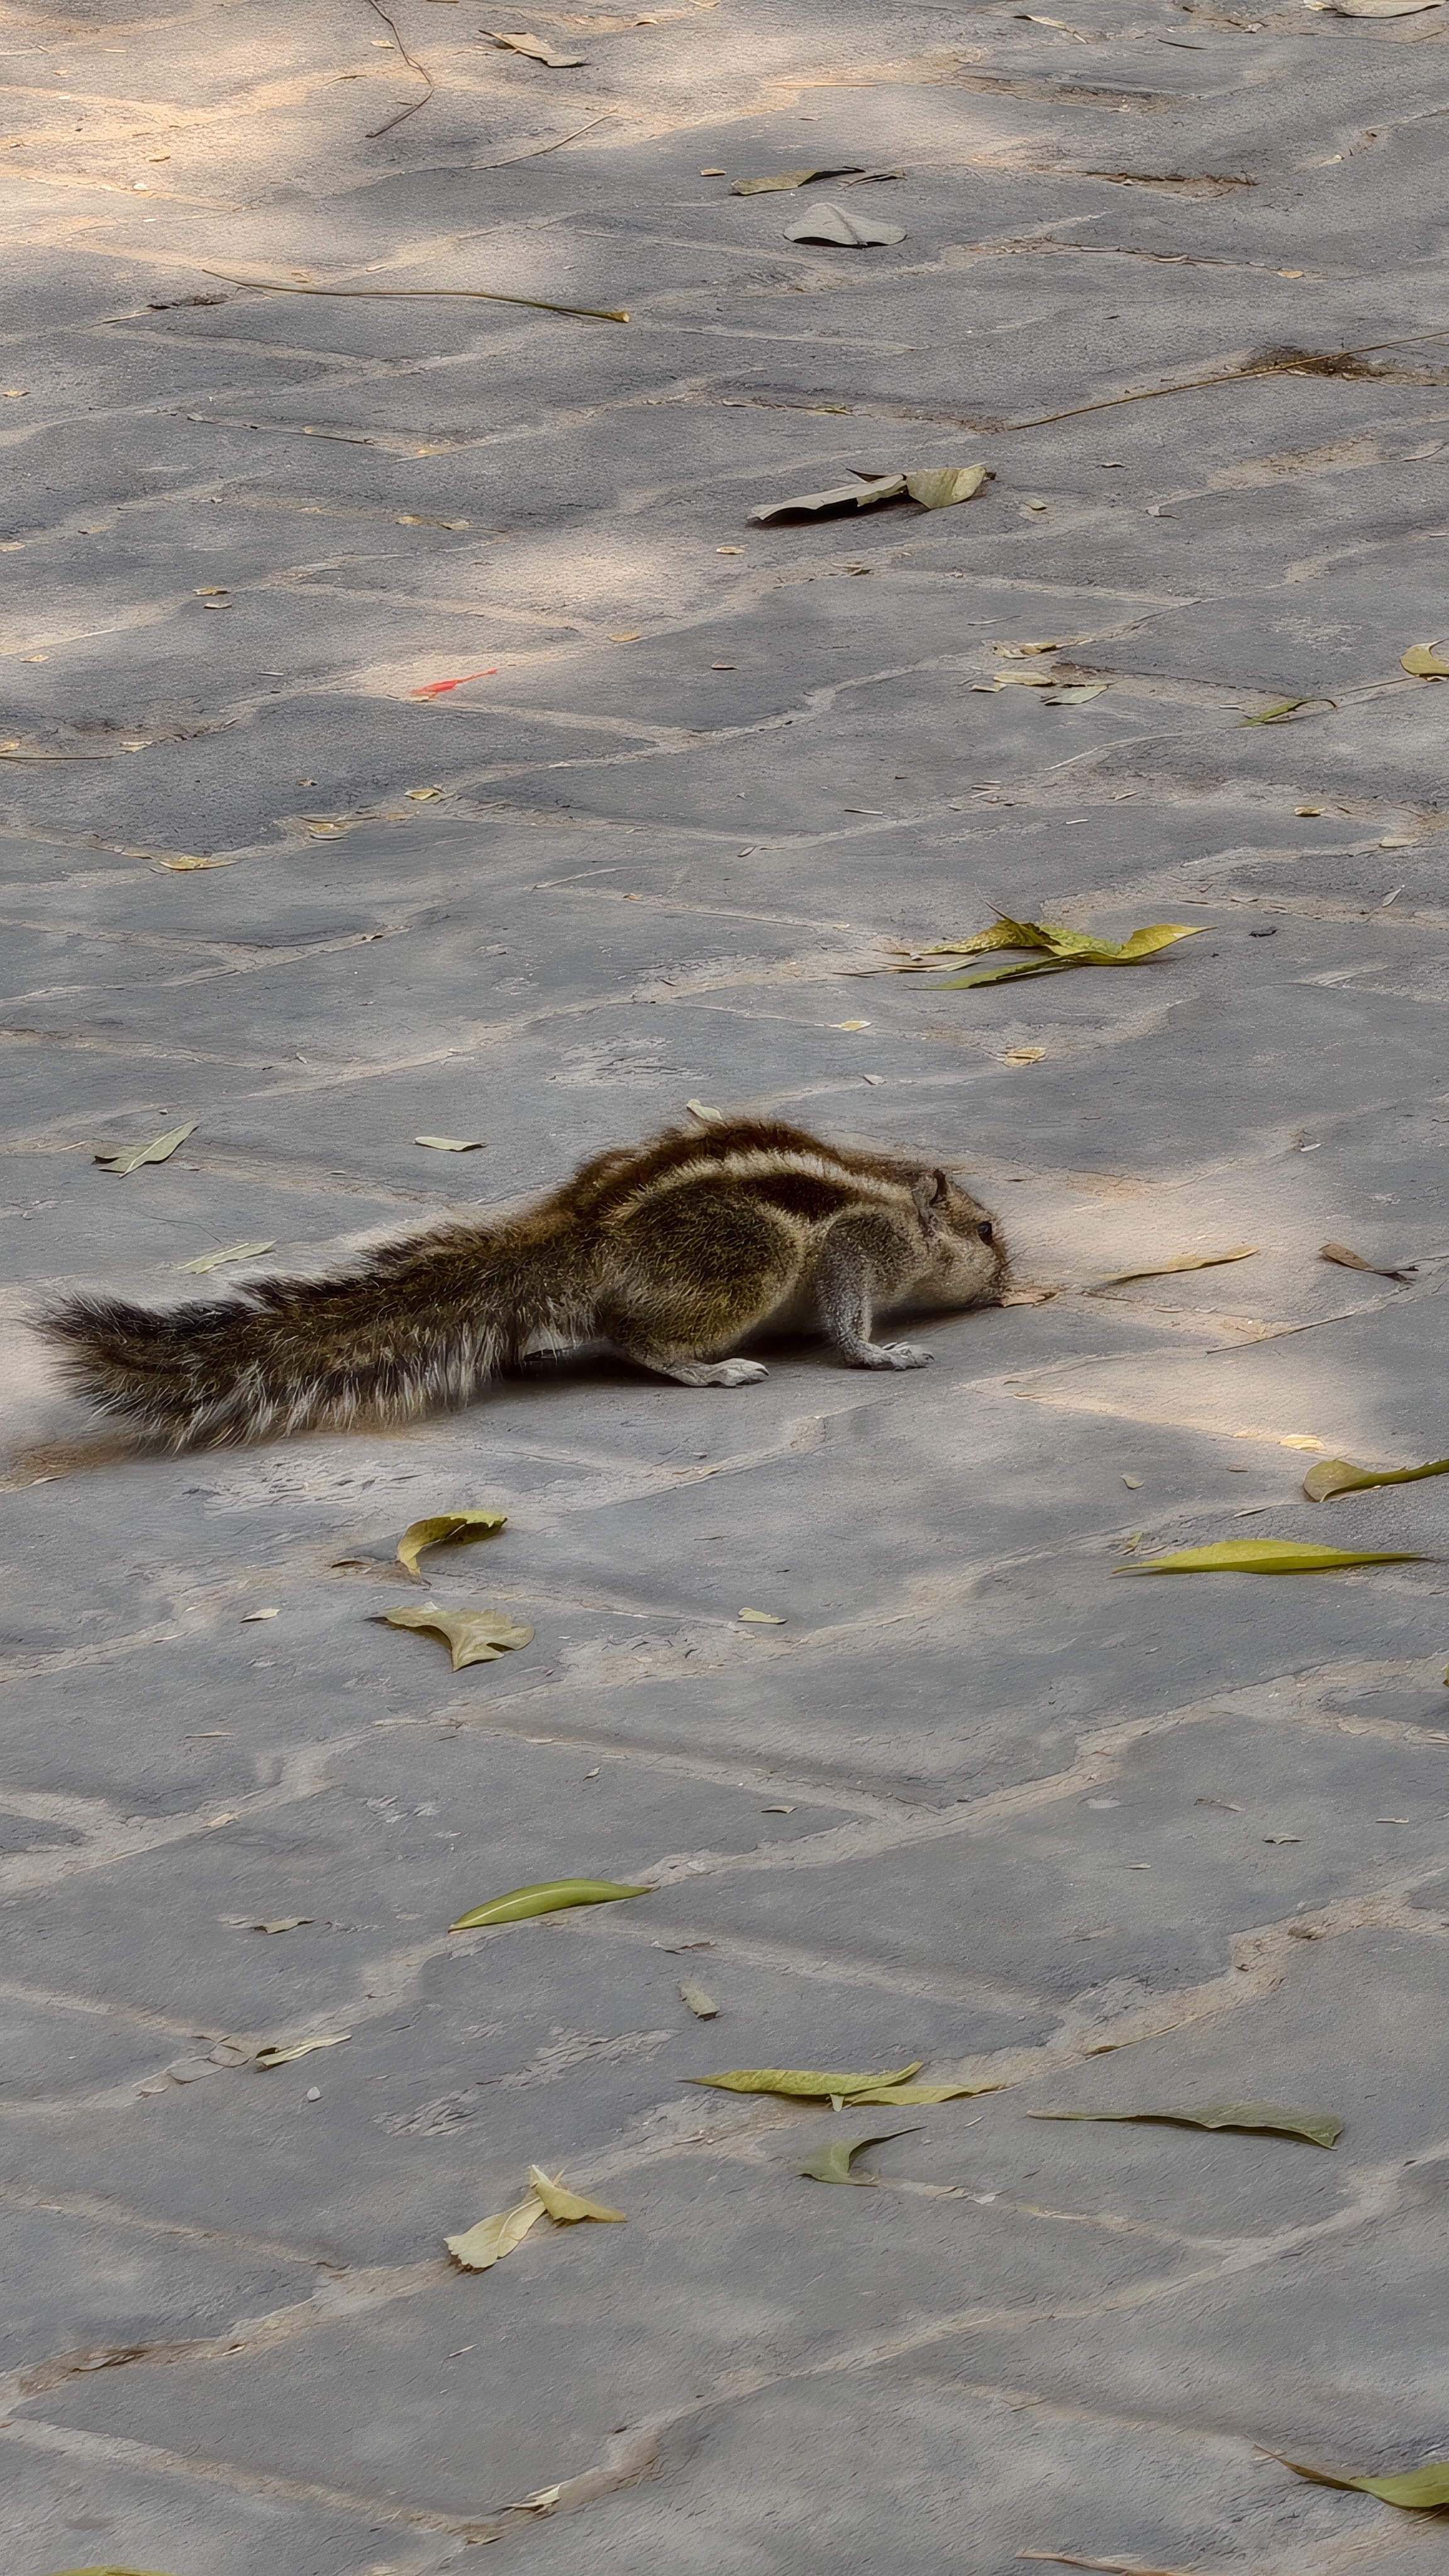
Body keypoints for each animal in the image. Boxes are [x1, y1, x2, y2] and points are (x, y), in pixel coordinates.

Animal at [38, 1116, 1007, 1450]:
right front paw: (881, 1354)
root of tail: (582, 1234)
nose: (1008, 1283)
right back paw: (710, 1368)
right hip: (746, 1257)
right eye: (988, 1231)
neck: (889, 1191)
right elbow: (847, 1310)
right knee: (637, 1335)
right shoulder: (854, 1246)